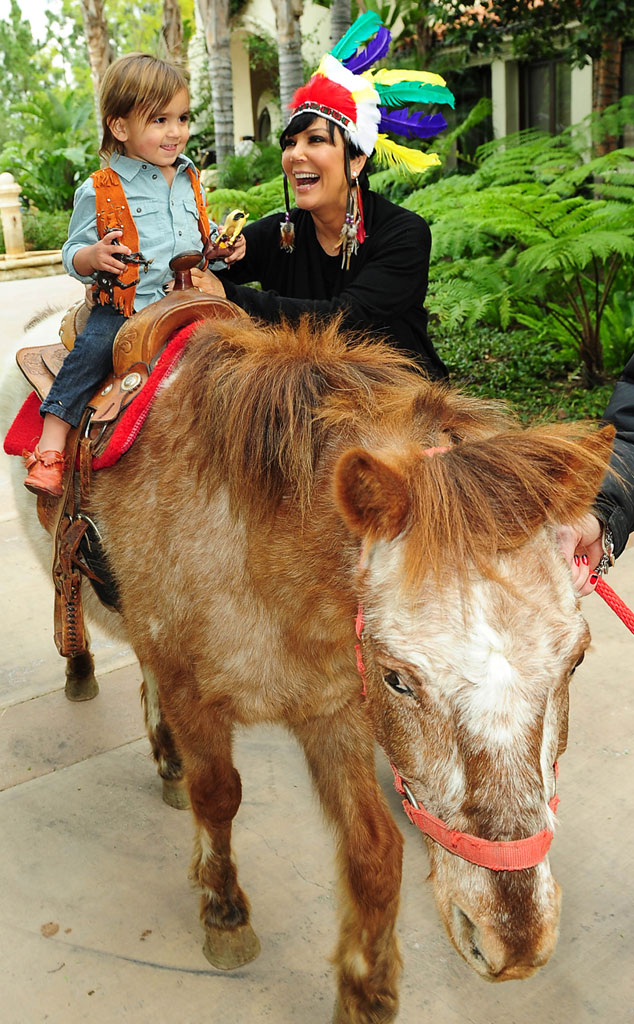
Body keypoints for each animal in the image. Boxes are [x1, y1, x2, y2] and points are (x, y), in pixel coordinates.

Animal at [8, 315, 614, 1019]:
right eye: (397, 678)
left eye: (574, 662)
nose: (511, 942)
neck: (252, 547)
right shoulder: (196, 696)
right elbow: (218, 798)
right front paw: (225, 915)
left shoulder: (333, 709)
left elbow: (375, 852)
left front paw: (366, 993)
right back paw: (82, 672)